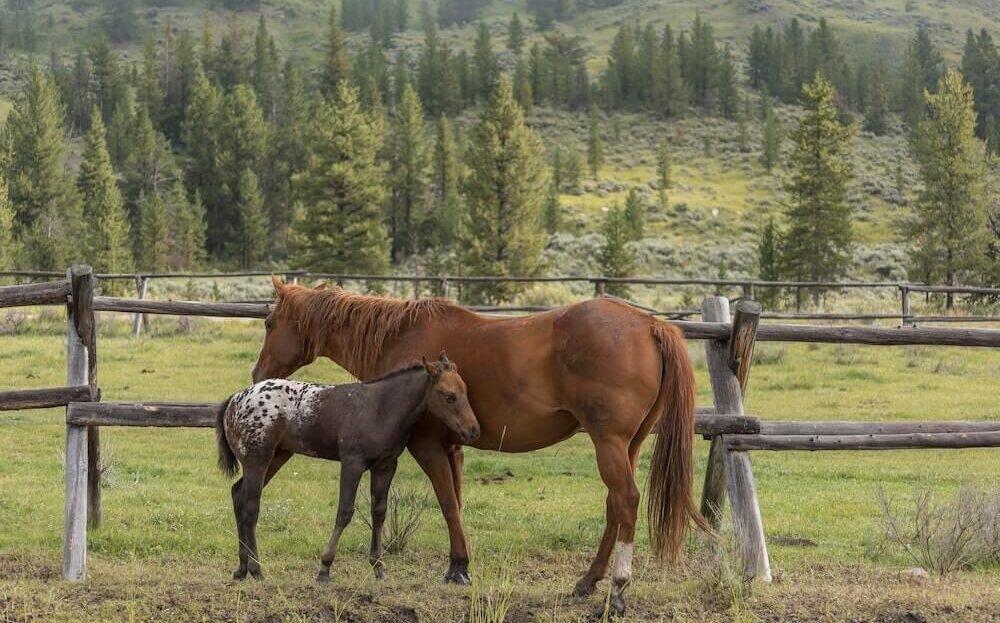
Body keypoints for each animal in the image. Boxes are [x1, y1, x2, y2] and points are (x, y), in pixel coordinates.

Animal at [214, 354, 476, 584]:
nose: (473, 430)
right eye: (449, 396)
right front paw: (324, 568)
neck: (381, 407)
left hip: (277, 456)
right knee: (250, 508)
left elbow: (379, 512)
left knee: (238, 494)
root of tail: (234, 399)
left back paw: (242, 569)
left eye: (465, 391)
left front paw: (378, 567)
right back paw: (256, 570)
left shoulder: (385, 465)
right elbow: (345, 511)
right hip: (258, 459)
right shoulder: (352, 463)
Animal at [250, 280, 704, 620]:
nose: (258, 375)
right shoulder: (454, 447)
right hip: (628, 445)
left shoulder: (427, 446)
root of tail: (649, 324)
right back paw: (587, 582)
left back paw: (617, 591)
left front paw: (458, 569)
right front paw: (459, 563)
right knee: (615, 507)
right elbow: (458, 501)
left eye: (270, 322)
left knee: (625, 501)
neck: (402, 340)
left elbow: (447, 503)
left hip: (608, 443)